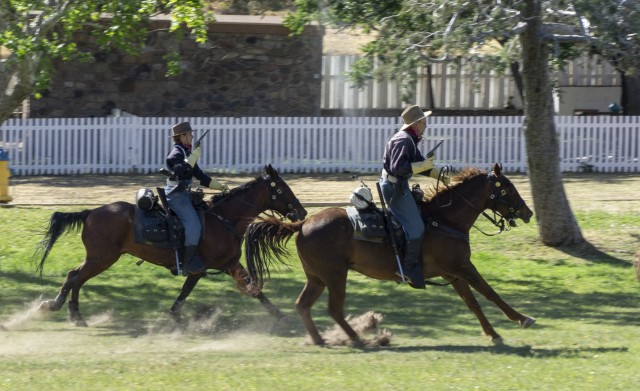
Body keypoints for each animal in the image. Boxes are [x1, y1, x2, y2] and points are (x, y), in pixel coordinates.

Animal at [35, 165, 308, 328]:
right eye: (282, 188)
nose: (302, 212)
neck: (223, 219)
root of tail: (90, 212)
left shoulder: (229, 264)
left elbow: (254, 289)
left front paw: (280, 316)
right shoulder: (200, 267)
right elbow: (187, 291)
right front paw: (176, 316)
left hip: (98, 258)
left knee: (75, 276)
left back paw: (67, 311)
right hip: (102, 258)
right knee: (76, 278)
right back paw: (63, 309)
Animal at [245, 162, 536, 346]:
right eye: (507, 188)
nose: (528, 212)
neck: (445, 219)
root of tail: (302, 224)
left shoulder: (452, 272)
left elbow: (472, 302)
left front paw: (492, 333)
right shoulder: (463, 266)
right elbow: (490, 293)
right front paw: (522, 318)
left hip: (317, 278)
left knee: (303, 305)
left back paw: (320, 339)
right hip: (335, 276)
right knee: (334, 309)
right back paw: (358, 338)